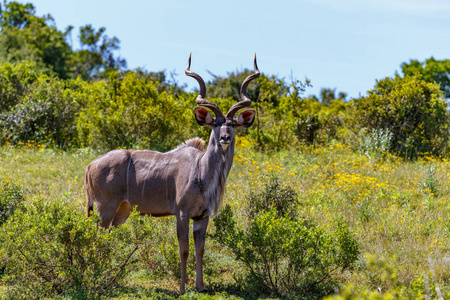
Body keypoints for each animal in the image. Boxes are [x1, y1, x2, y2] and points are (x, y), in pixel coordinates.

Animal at [85, 54, 260, 292]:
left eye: (232, 124)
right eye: (215, 124)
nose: (225, 138)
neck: (202, 172)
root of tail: (91, 165)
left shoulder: (202, 216)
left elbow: (200, 249)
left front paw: (201, 287)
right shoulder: (182, 212)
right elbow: (184, 249)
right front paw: (183, 288)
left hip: (120, 211)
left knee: (106, 237)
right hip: (104, 208)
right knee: (97, 236)